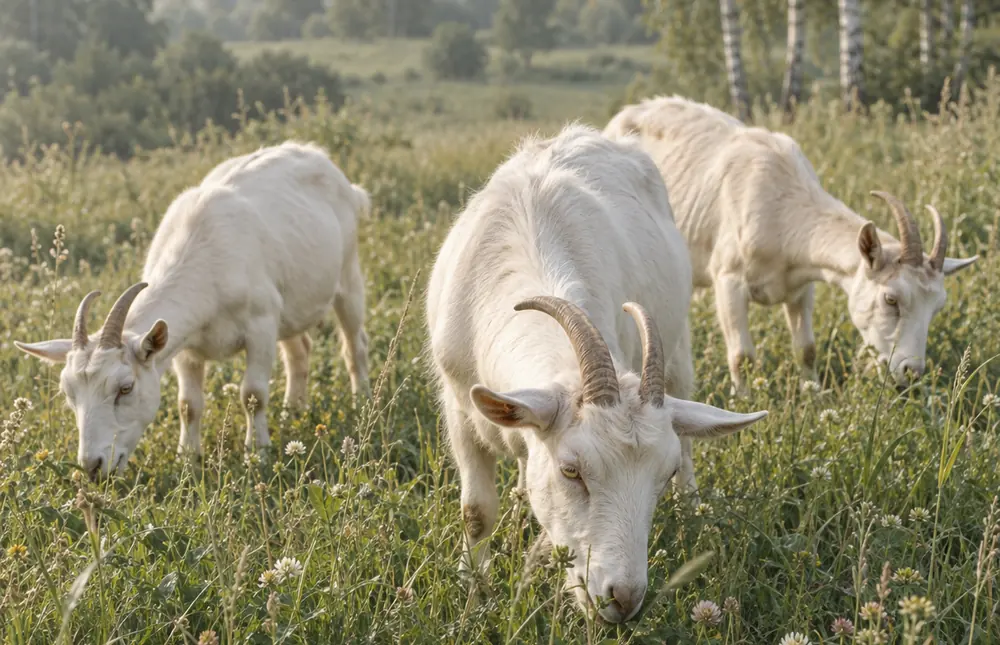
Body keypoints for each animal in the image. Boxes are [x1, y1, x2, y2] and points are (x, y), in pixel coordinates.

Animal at [16, 141, 371, 477]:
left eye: (125, 388)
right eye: (68, 393)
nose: (92, 466)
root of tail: (319, 157)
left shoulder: (261, 326)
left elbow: (253, 395)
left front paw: (256, 454)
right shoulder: (184, 348)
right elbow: (188, 405)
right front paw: (187, 459)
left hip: (348, 274)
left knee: (354, 345)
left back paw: (361, 404)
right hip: (290, 305)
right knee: (299, 350)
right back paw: (292, 412)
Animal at [426, 124, 767, 623]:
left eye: (661, 474)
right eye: (571, 471)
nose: (622, 598)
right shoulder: (459, 409)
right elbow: (476, 511)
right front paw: (474, 597)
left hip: (679, 347)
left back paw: (691, 509)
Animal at [605, 96, 977, 391]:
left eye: (938, 307)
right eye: (891, 299)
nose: (910, 372)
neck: (781, 207)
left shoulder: (801, 286)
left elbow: (806, 349)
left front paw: (813, 396)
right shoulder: (729, 281)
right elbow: (742, 357)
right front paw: (744, 404)